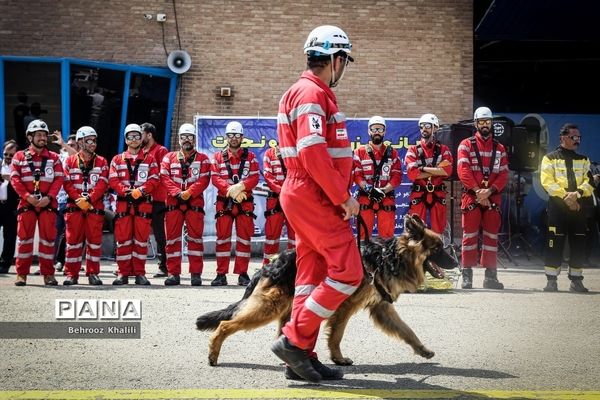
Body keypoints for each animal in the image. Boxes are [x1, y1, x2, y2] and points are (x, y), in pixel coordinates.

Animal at [196, 214, 454, 368]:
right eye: (438, 248)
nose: (456, 261)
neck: (389, 257)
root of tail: (271, 264)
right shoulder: (346, 307)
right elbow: (337, 335)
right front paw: (338, 359)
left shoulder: (382, 307)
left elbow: (407, 330)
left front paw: (422, 349)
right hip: (269, 306)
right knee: (225, 325)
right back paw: (214, 353)